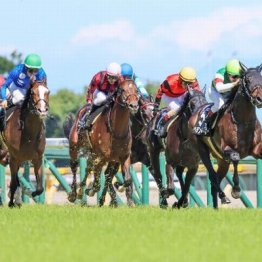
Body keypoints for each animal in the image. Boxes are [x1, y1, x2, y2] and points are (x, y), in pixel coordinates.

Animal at [63, 79, 139, 207]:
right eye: (122, 90)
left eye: (136, 90)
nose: (133, 105)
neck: (116, 130)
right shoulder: (101, 157)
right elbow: (98, 180)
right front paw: (91, 190)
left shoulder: (124, 156)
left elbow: (127, 179)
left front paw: (130, 202)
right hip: (75, 146)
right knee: (74, 166)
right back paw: (74, 194)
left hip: (97, 155)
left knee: (91, 169)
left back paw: (83, 192)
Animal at [192, 62, 262, 208]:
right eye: (248, 80)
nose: (259, 99)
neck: (243, 120)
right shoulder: (227, 149)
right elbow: (236, 158)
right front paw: (236, 190)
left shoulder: (257, 149)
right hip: (203, 151)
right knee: (213, 178)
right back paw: (223, 197)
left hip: (222, 161)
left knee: (216, 181)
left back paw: (216, 207)